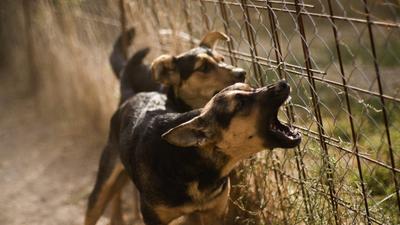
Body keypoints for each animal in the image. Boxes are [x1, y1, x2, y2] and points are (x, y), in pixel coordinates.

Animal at [103, 80, 300, 224]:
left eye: (251, 88)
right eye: (240, 104)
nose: (283, 83)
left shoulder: (215, 213)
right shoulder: (153, 218)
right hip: (105, 181)